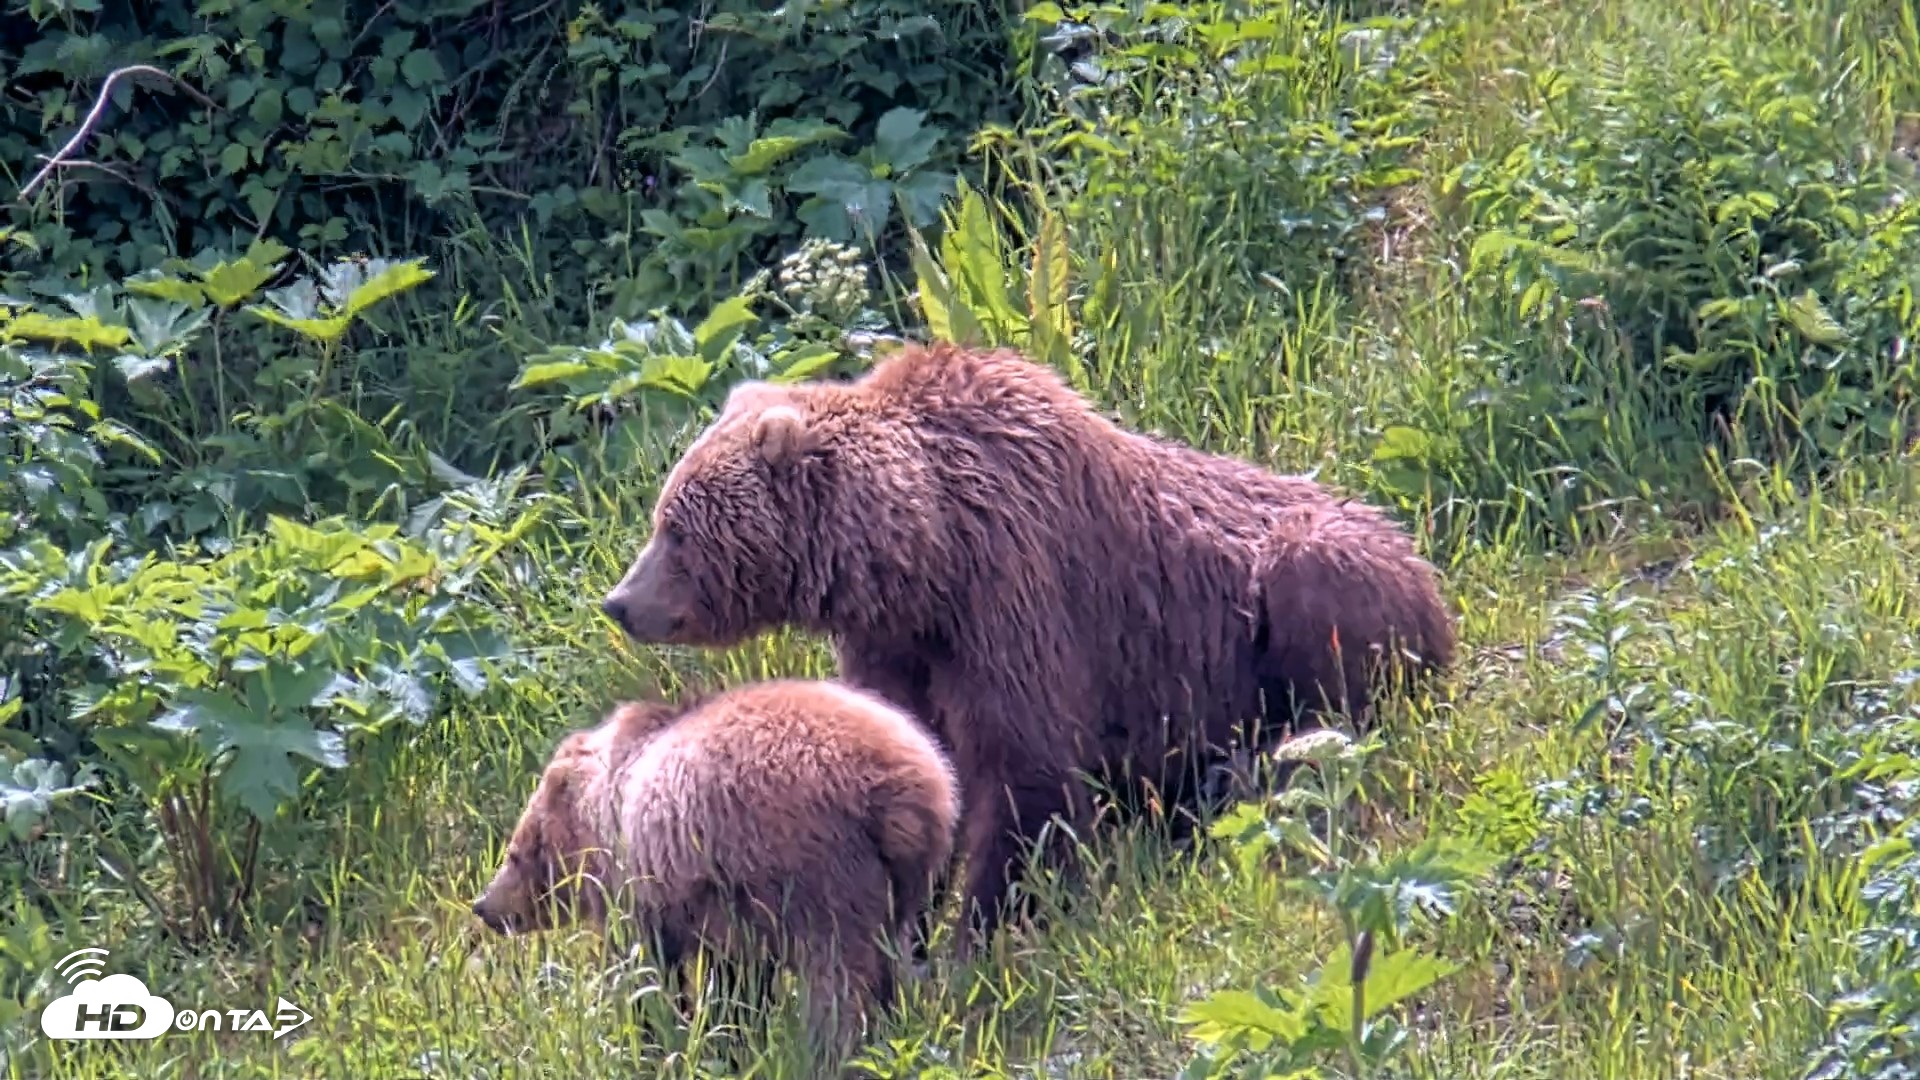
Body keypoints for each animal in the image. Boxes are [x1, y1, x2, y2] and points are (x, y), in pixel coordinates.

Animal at [469, 678, 961, 1062]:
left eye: (514, 854)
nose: (483, 906)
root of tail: (904, 789)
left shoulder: (642, 886)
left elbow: (647, 973)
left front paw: (654, 1039)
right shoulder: (733, 910)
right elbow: (738, 984)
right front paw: (730, 1039)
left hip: (825, 870)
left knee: (838, 977)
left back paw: (832, 1051)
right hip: (902, 886)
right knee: (891, 960)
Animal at [598, 342, 1456, 953]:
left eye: (674, 528)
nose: (619, 603)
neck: (924, 556)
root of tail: (1427, 568)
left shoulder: (1014, 592)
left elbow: (1024, 768)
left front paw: (982, 935)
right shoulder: (896, 645)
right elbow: (915, 754)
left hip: (1311, 578)